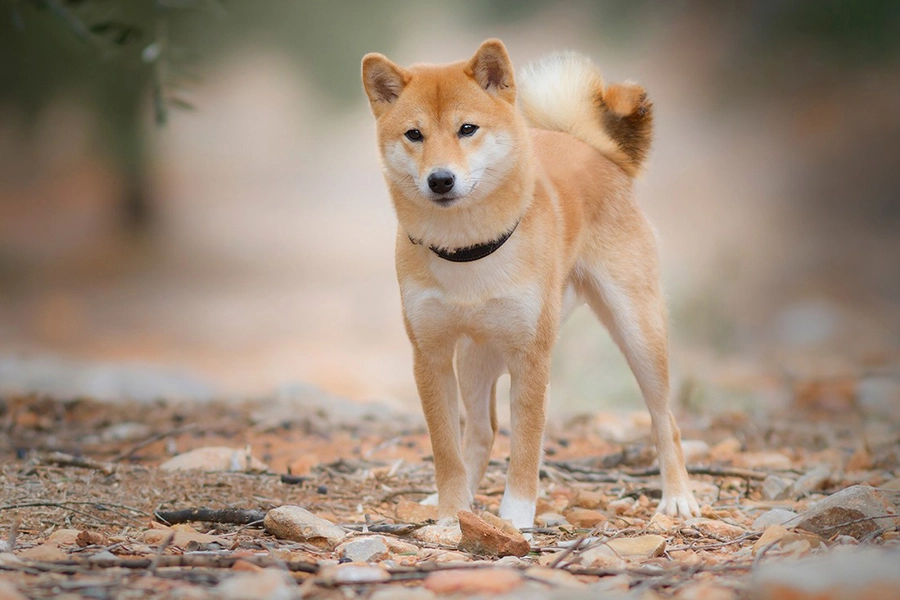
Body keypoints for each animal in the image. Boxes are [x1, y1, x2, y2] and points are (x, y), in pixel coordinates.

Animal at [362, 39, 700, 528]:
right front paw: (449, 514)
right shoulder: (431, 356)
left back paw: (678, 497)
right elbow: (446, 450)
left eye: (467, 129)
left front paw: (517, 517)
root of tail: (594, 150)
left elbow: (525, 447)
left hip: (639, 333)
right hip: (475, 357)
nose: (440, 179)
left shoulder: (531, 356)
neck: (467, 250)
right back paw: (457, 501)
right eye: (414, 134)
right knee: (481, 433)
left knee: (664, 419)